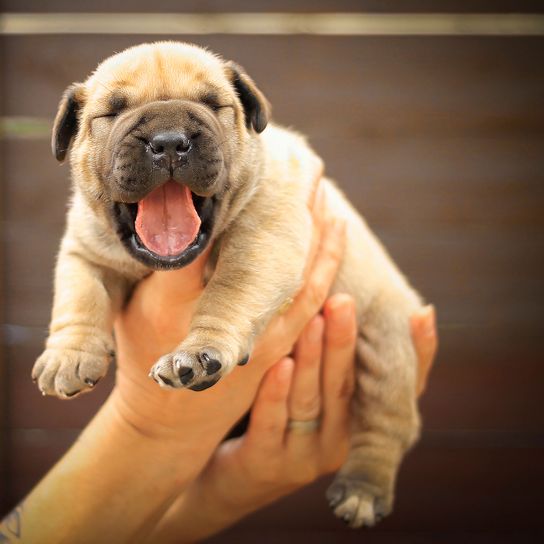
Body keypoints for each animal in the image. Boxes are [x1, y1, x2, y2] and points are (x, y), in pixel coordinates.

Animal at [33, 43, 424, 532]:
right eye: (112, 112)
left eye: (214, 104)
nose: (168, 141)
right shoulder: (85, 249)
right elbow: (79, 297)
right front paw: (68, 355)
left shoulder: (262, 240)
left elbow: (228, 294)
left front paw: (199, 353)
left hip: (386, 336)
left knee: (386, 421)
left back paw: (363, 487)